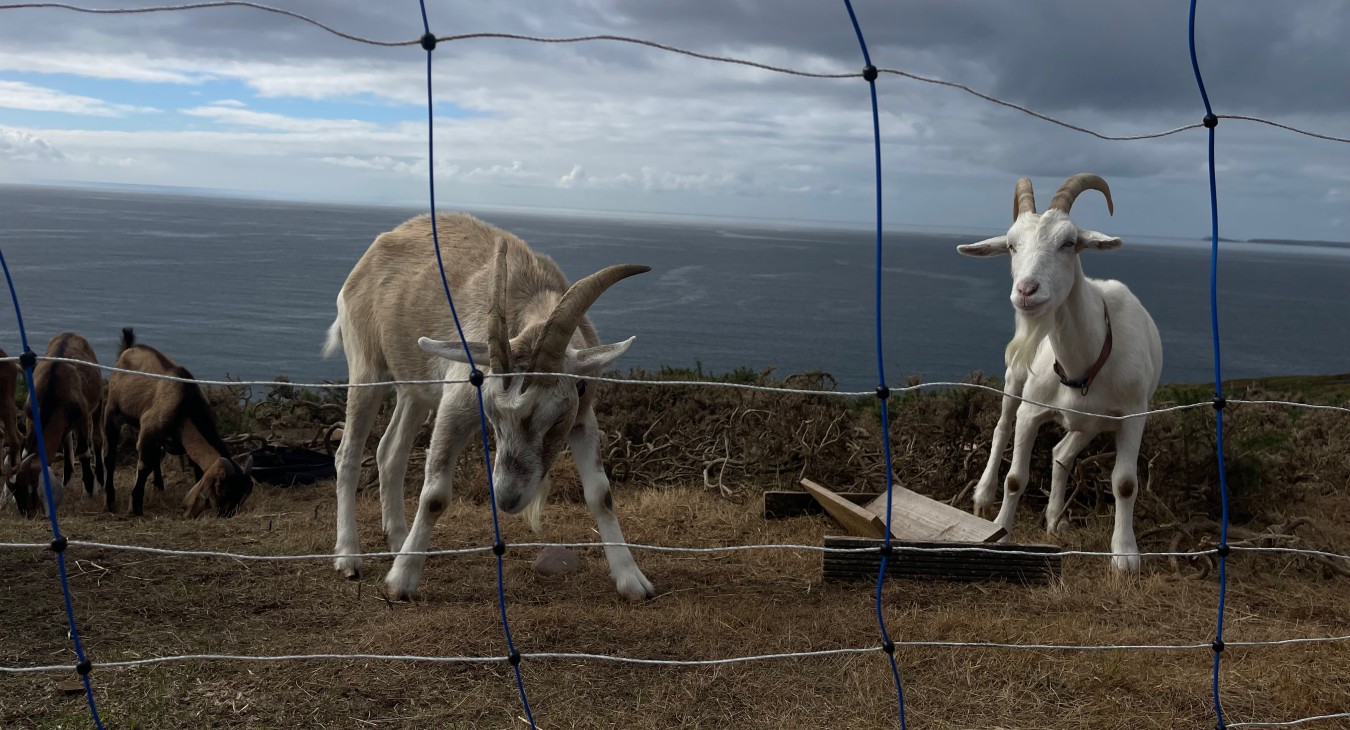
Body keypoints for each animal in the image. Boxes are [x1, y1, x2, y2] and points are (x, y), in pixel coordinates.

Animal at [13, 333, 103, 517]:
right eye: (15, 489)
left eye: (31, 488)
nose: (25, 512)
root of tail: (70, 334)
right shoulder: (31, 417)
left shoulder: (82, 417)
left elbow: (83, 451)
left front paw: (89, 488)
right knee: (67, 441)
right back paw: (67, 480)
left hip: (97, 405)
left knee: (97, 439)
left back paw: (99, 479)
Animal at [103, 328, 254, 517]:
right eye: (223, 489)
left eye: (244, 495)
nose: (227, 514)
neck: (185, 403)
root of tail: (129, 348)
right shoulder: (149, 431)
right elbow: (144, 466)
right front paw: (135, 508)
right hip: (112, 411)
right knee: (110, 456)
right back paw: (109, 501)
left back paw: (159, 487)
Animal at [324, 212, 653, 601]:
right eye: (492, 419)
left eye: (554, 421)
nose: (507, 500)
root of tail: (370, 255)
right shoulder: (457, 405)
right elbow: (434, 495)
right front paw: (401, 581)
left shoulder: (582, 417)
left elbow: (601, 494)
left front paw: (632, 579)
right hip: (366, 367)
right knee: (347, 454)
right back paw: (348, 557)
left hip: (414, 389)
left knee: (390, 452)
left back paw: (399, 541)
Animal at [957, 173, 1163, 571]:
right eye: (1011, 245)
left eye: (1069, 243)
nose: (1026, 290)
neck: (1085, 361)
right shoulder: (1031, 411)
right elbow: (1015, 478)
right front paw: (1001, 531)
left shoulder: (1133, 414)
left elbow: (1125, 483)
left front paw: (1125, 555)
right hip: (1014, 378)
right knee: (1001, 427)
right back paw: (983, 494)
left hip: (1090, 424)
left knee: (1062, 454)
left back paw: (1054, 518)